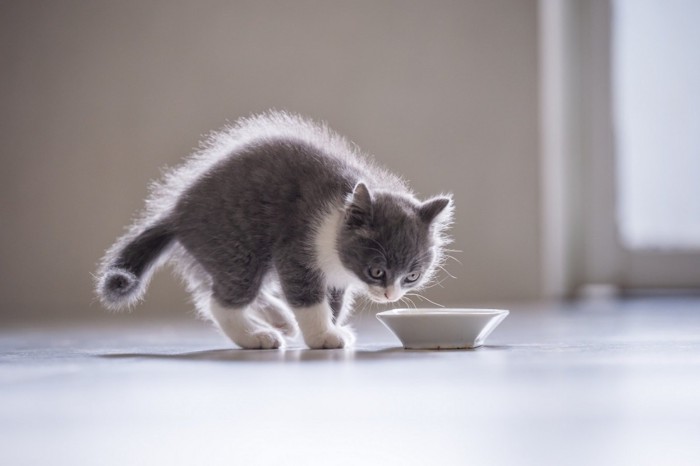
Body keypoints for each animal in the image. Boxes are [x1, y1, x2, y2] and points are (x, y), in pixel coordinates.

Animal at [94, 110, 454, 350]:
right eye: (377, 271)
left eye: (411, 276)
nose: (390, 295)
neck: (335, 223)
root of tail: (177, 213)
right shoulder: (296, 248)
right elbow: (308, 297)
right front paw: (322, 336)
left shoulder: (335, 277)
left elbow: (334, 302)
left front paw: (331, 326)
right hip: (237, 245)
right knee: (220, 300)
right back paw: (256, 336)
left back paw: (278, 316)